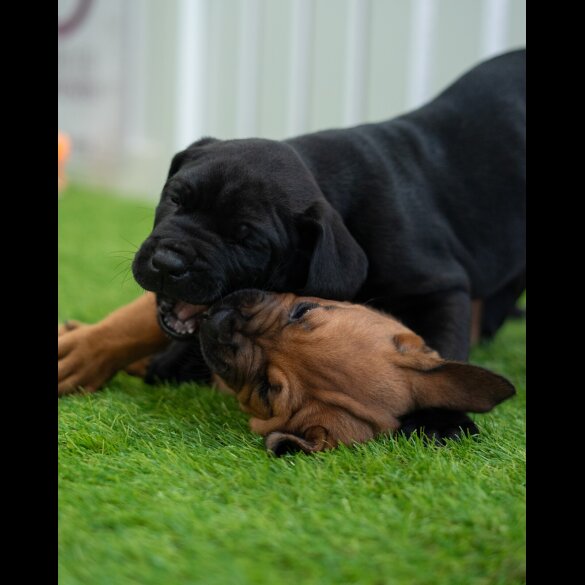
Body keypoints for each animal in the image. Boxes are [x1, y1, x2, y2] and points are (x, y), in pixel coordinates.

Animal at [132, 48, 524, 436]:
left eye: (247, 241)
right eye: (176, 199)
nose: (167, 262)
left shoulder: (439, 286)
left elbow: (444, 347)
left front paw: (443, 418)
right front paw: (172, 361)